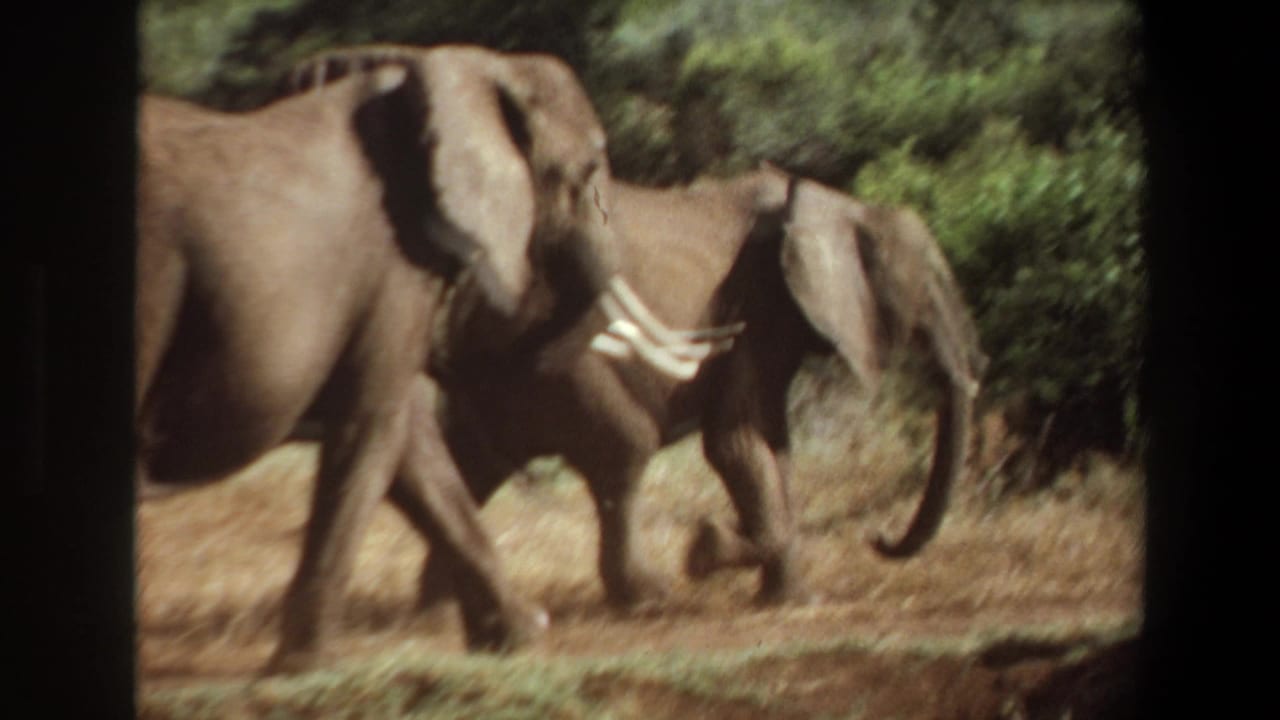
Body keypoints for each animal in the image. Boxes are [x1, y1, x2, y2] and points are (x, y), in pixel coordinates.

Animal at [136, 43, 718, 673]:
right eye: (586, 172)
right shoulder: (394, 268)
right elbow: (373, 428)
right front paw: (307, 668)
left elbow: (412, 441)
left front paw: (521, 635)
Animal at [417, 162, 988, 611]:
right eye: (933, 286)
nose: (878, 538)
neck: (840, 207)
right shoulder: (753, 312)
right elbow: (737, 444)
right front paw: (707, 548)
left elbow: (774, 446)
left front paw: (794, 599)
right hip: (566, 356)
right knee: (623, 452)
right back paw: (650, 599)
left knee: (472, 462)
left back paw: (441, 613)